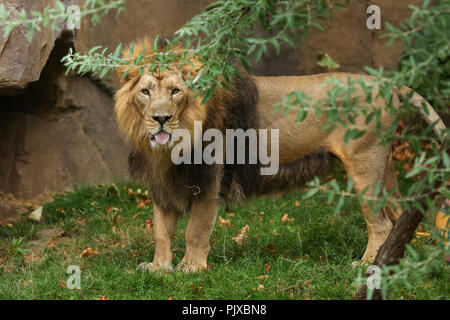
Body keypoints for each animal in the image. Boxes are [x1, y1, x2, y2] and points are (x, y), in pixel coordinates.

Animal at [113, 37, 446, 272]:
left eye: (175, 91)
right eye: (145, 92)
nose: (161, 118)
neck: (173, 145)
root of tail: (388, 83)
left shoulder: (210, 178)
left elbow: (195, 229)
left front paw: (191, 268)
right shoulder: (162, 183)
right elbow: (161, 230)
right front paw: (159, 267)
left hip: (365, 164)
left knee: (381, 223)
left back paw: (367, 266)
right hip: (383, 166)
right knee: (398, 216)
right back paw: (395, 263)